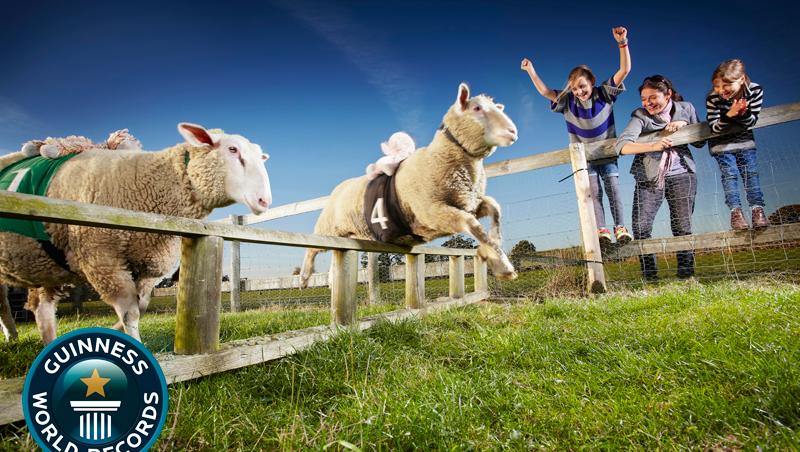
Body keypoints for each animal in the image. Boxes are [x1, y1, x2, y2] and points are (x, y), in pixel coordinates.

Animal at [0, 122, 272, 342]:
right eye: (233, 150)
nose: (264, 201)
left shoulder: (148, 267)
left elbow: (140, 307)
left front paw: (113, 329)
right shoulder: (102, 260)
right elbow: (131, 313)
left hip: (41, 265)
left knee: (41, 307)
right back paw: (13, 336)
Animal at [300, 83, 520, 288]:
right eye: (477, 108)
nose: (513, 132)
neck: (439, 157)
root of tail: (339, 187)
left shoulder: (469, 203)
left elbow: (495, 209)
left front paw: (496, 252)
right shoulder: (433, 211)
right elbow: (473, 224)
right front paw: (502, 265)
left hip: (349, 233)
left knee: (336, 250)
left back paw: (331, 279)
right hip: (327, 226)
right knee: (312, 248)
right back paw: (304, 277)